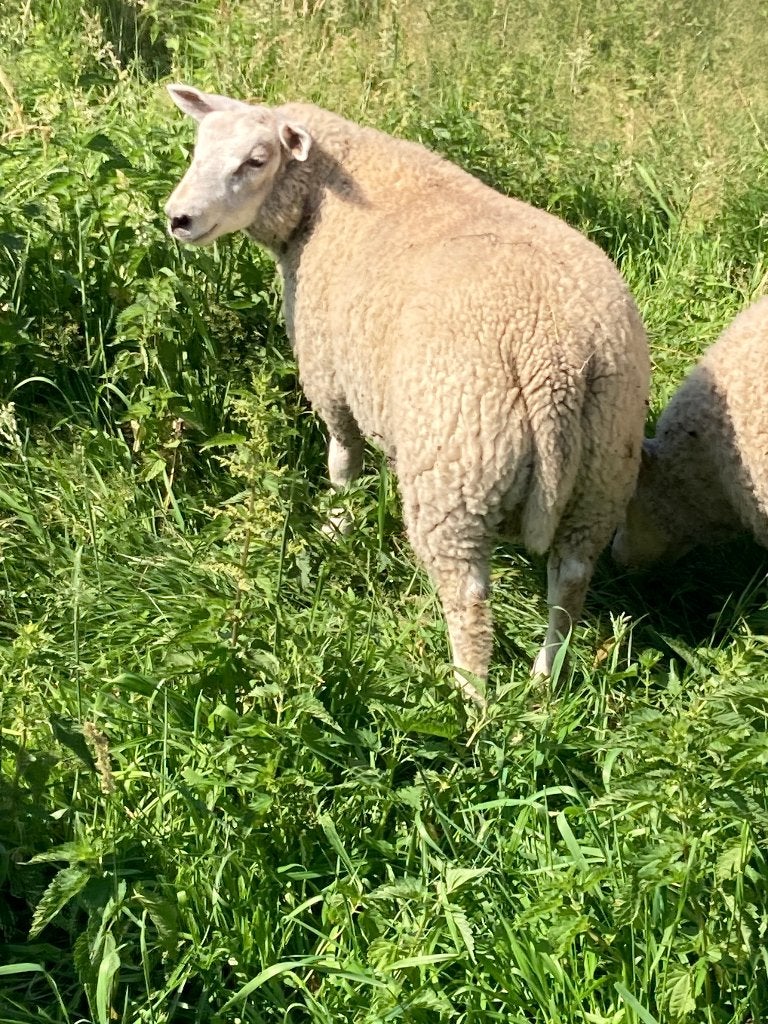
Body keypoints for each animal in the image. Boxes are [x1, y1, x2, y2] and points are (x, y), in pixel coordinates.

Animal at [164, 84, 650, 705]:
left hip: (456, 470)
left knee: (468, 599)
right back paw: (545, 681)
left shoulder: (329, 375)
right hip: (603, 468)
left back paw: (471, 698)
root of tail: (553, 361)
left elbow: (343, 457)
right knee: (570, 579)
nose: (178, 219)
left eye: (256, 160)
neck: (321, 200)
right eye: (198, 147)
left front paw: (336, 526)